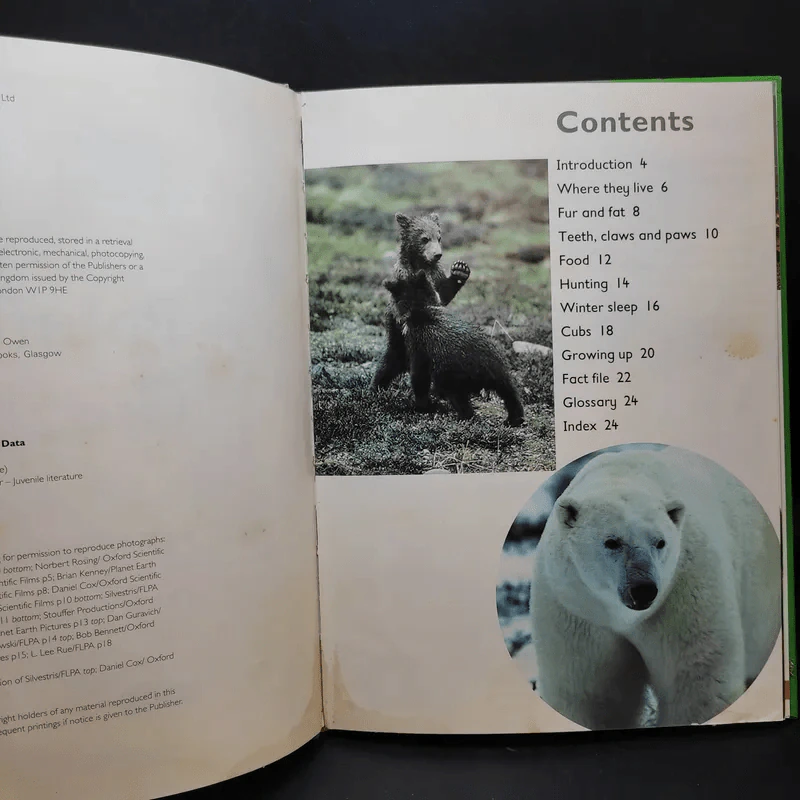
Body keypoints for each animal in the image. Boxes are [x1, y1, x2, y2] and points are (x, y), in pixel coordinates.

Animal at [371, 211, 471, 393]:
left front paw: (460, 270)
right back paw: (376, 386)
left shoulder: (436, 275)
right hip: (396, 335)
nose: (437, 254)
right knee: (389, 360)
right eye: (425, 238)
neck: (422, 264)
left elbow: (443, 294)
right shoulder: (404, 276)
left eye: (439, 237)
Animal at [382, 269, 524, 426]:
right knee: (510, 393)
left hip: (452, 379)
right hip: (500, 369)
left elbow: (418, 377)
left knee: (461, 401)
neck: (420, 308)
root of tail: (483, 369)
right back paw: (514, 418)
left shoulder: (418, 347)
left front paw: (422, 406)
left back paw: (461, 416)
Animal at [529, 446, 781, 730]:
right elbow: (590, 694)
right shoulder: (575, 608)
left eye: (660, 542)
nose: (643, 589)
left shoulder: (682, 592)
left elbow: (696, 684)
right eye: (612, 542)